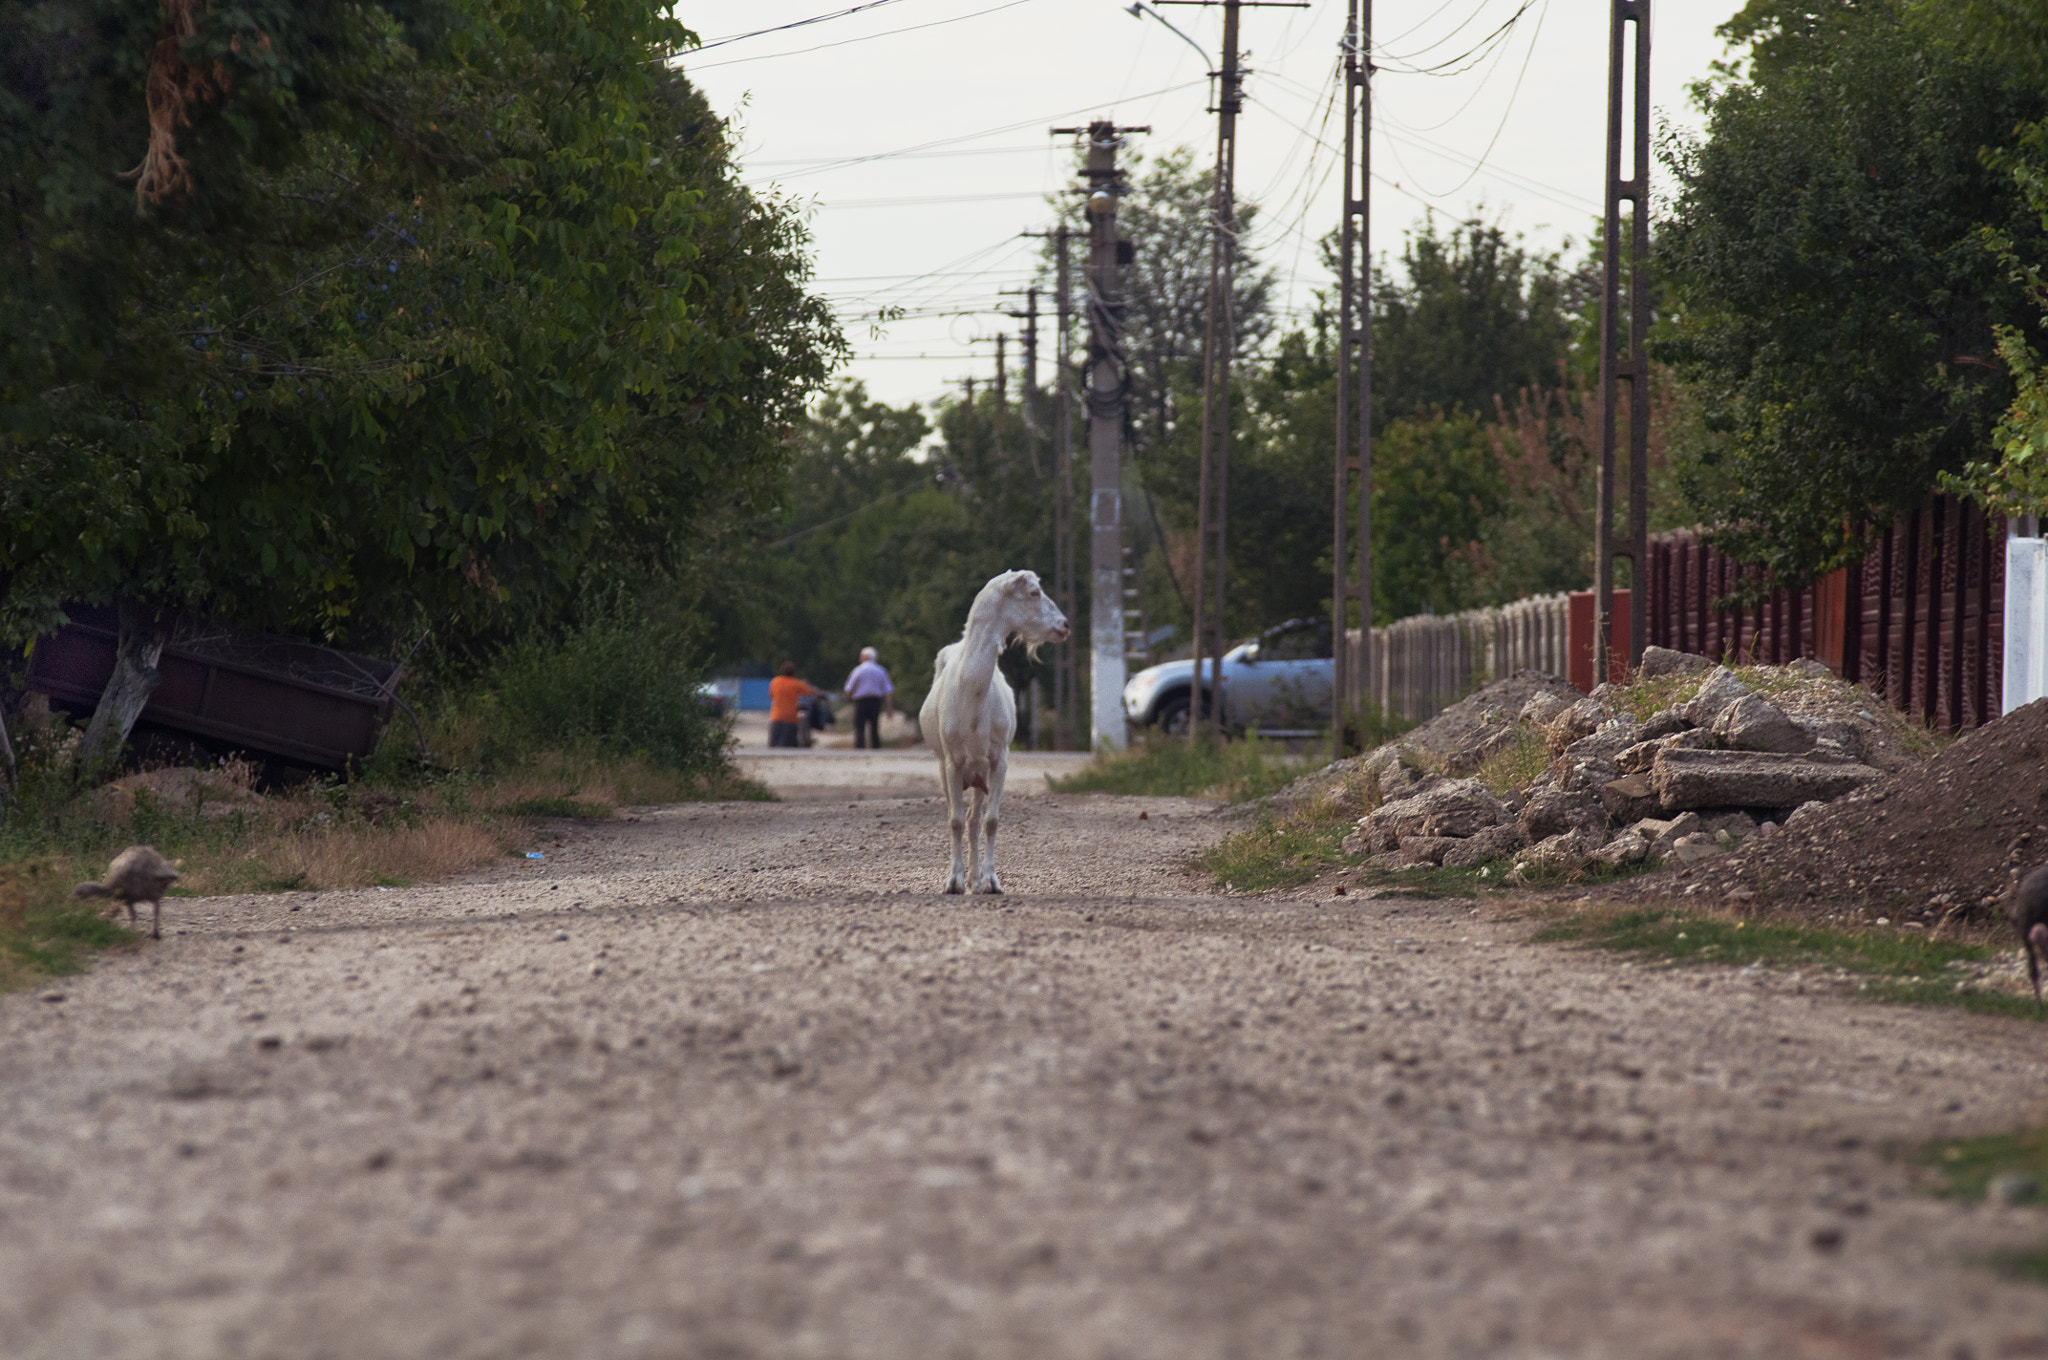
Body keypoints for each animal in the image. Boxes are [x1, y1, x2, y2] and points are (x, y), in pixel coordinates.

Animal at [917, 569, 1064, 897]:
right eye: (1034, 592)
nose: (1064, 625)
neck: (971, 694)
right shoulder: (952, 762)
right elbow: (955, 821)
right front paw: (953, 882)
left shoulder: (998, 760)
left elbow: (991, 821)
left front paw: (990, 881)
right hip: (949, 769)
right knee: (962, 818)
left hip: (979, 774)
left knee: (975, 821)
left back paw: (974, 880)